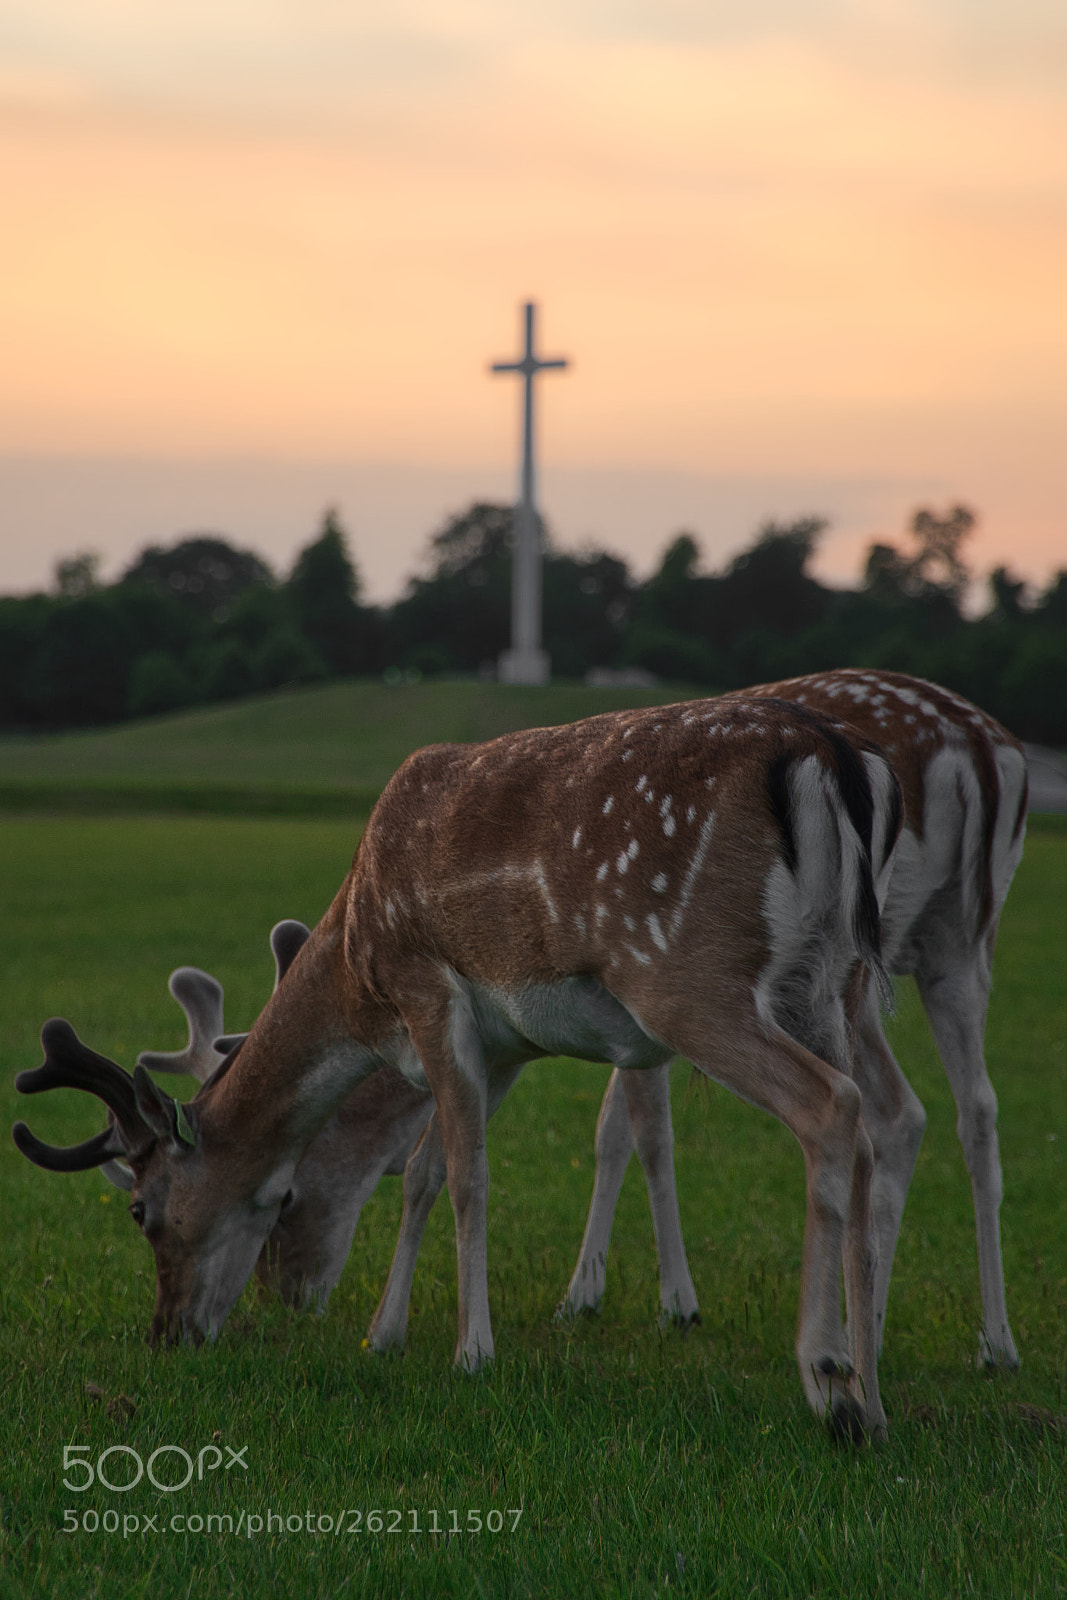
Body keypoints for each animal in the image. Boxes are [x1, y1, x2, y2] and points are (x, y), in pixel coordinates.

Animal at [13, 695, 902, 1439]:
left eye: (143, 1213)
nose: (167, 1333)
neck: (357, 969)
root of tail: (826, 754)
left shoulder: (426, 990)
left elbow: (468, 1176)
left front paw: (472, 1353)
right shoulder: (505, 1044)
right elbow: (422, 1172)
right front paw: (383, 1336)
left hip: (687, 976)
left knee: (830, 1107)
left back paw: (826, 1382)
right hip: (830, 982)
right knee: (874, 1127)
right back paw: (872, 1395)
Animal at [561, 670, 1028, 1369]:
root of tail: (975, 749)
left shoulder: (651, 976)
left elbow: (641, 1129)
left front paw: (654, 1302)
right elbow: (619, 1119)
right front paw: (600, 1292)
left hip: (853, 956)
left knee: (897, 1109)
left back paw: (868, 1333)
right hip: (963, 944)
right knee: (977, 1107)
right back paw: (992, 1340)